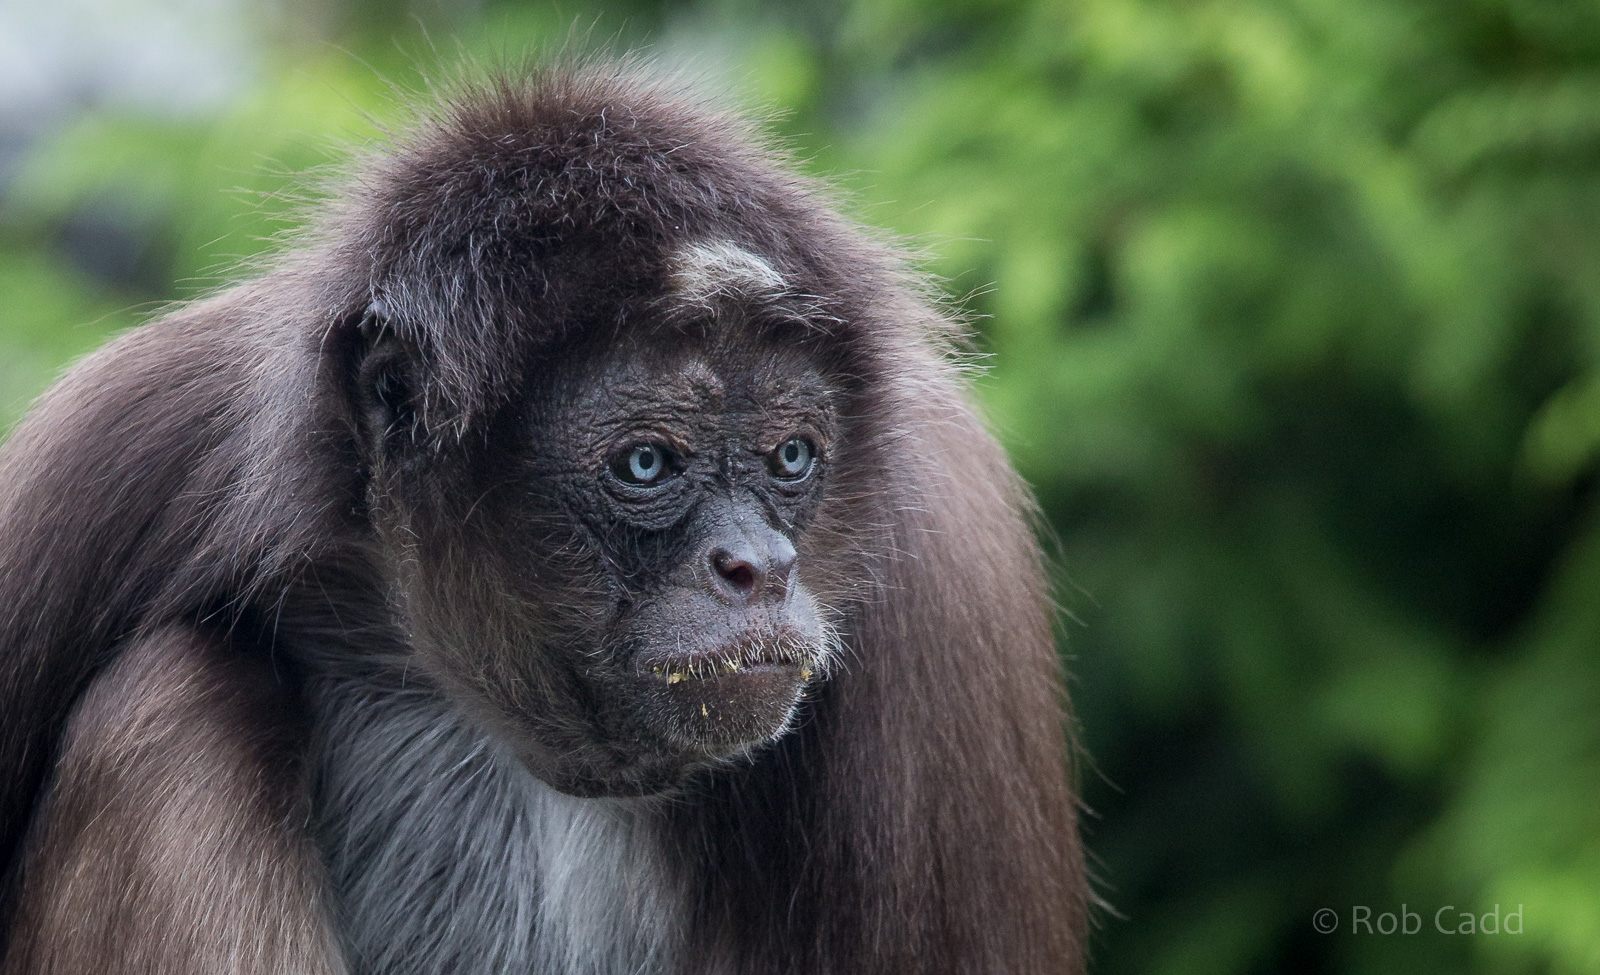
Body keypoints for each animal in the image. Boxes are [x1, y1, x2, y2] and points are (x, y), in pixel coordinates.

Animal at [0, 64, 1088, 974]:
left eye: (790, 458)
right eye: (647, 464)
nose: (760, 568)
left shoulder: (944, 565)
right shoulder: (135, 436)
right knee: (179, 689)